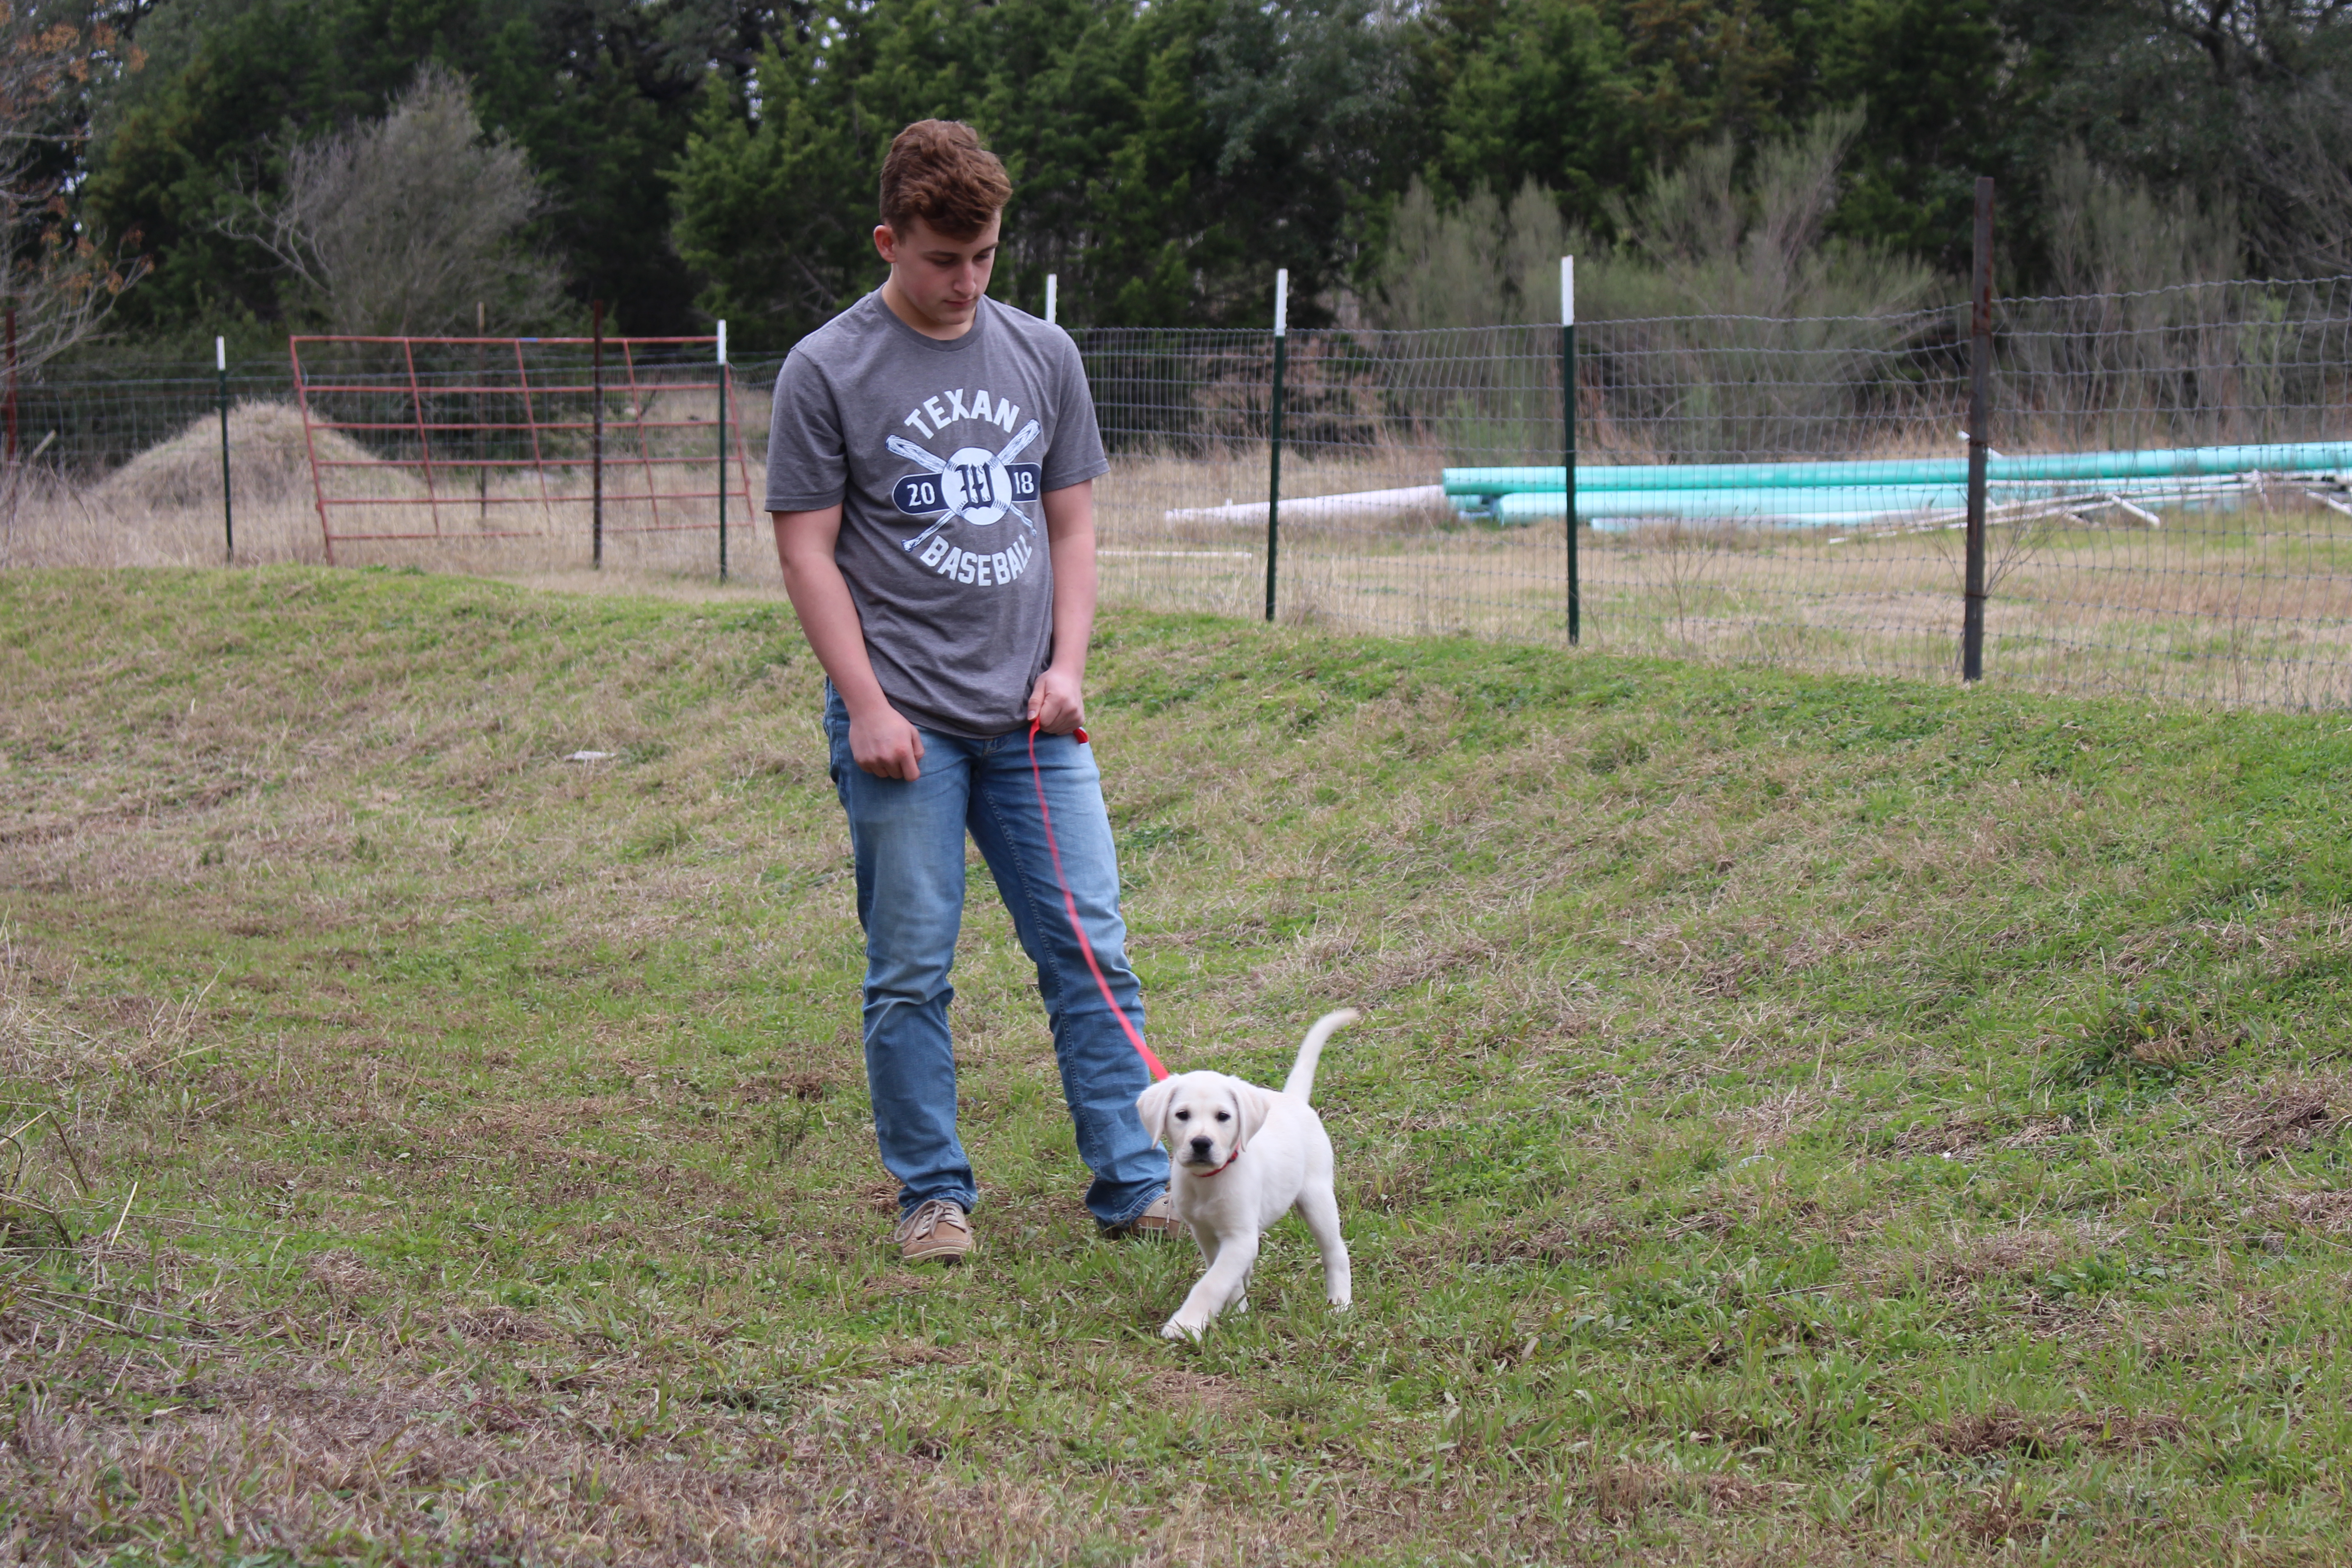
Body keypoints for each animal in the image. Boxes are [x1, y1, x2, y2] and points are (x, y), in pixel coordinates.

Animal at [1138, 1011, 1364, 1344]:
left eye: (1223, 1116)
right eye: (1182, 1115)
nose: (1201, 1144)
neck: (1209, 1181)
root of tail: (1293, 1100)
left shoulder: (1239, 1237)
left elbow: (1211, 1283)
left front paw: (1185, 1325)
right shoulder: (1206, 1234)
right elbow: (1223, 1278)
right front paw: (1237, 1314)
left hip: (1317, 1198)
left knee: (1336, 1252)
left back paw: (1340, 1305)